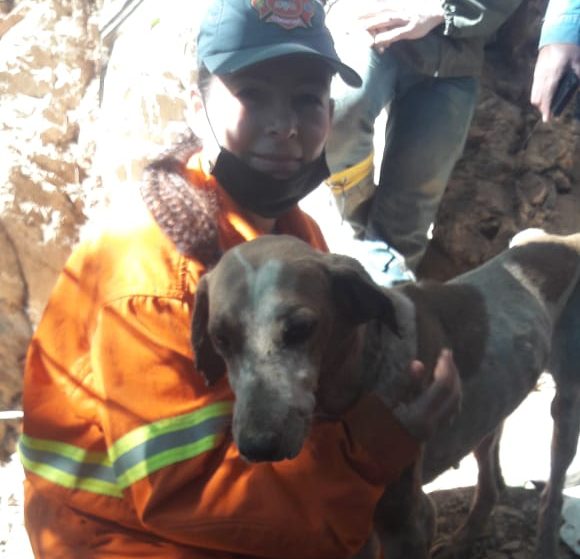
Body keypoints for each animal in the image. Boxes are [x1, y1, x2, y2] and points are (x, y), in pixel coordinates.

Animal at [193, 230, 580, 556]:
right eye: (220, 339)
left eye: (301, 328)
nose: (257, 447)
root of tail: (566, 239)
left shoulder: (408, 524)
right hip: (487, 413)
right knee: (489, 485)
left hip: (565, 413)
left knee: (551, 500)